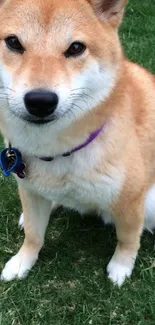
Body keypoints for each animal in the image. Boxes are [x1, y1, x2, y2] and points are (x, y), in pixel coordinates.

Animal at [0, 0, 155, 284]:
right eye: (14, 42)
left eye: (75, 48)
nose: (40, 101)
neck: (59, 150)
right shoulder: (28, 188)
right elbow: (33, 235)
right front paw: (22, 262)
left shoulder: (132, 199)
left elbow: (128, 238)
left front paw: (121, 267)